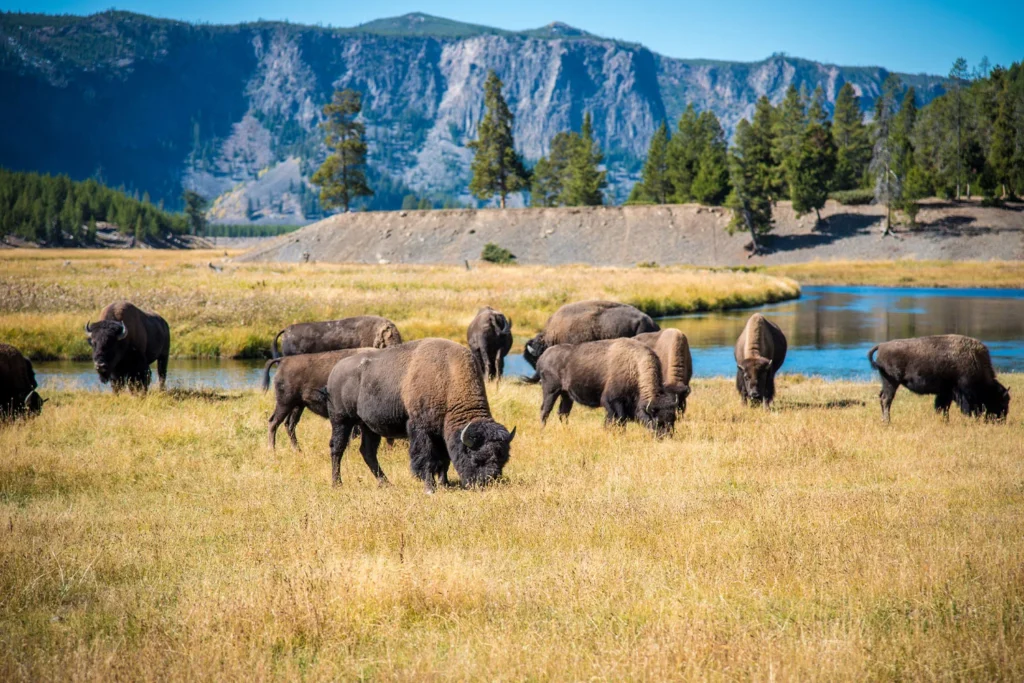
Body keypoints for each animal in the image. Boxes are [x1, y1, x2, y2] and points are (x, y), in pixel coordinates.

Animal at [323, 339, 516, 491]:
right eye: (477, 459)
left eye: (503, 459)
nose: (487, 483)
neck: (447, 377)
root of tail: (335, 370)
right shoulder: (421, 430)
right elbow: (426, 458)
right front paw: (430, 487)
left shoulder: (441, 433)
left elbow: (444, 460)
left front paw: (444, 484)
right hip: (342, 420)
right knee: (337, 448)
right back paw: (337, 484)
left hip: (368, 426)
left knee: (368, 452)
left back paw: (386, 483)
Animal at [532, 337, 684, 438]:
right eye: (658, 421)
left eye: (673, 419)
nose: (666, 437)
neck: (634, 367)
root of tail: (543, 357)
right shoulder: (612, 402)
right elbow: (618, 420)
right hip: (551, 391)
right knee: (545, 410)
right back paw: (542, 431)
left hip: (566, 395)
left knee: (563, 413)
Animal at [868, 335, 1011, 423]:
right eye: (1001, 401)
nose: (1001, 421)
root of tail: (881, 346)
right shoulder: (957, 392)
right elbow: (945, 407)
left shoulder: (945, 393)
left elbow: (942, 407)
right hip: (892, 382)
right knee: (886, 399)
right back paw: (887, 421)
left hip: (887, 382)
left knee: (882, 398)